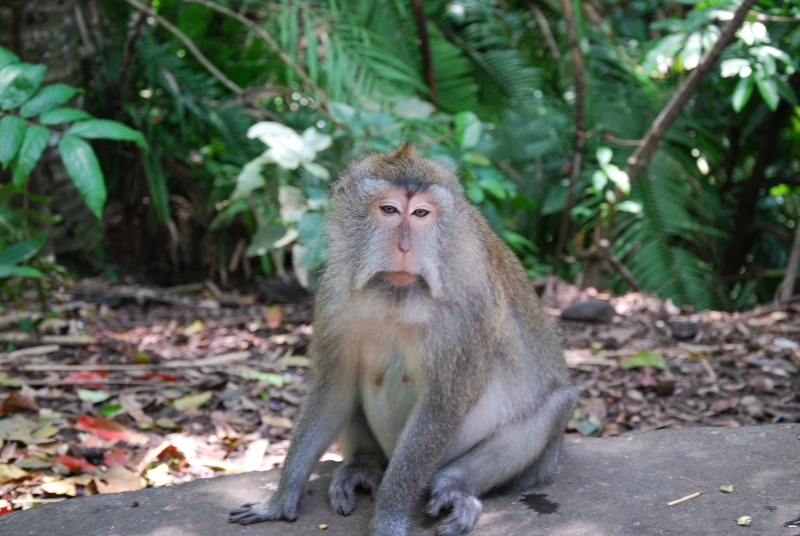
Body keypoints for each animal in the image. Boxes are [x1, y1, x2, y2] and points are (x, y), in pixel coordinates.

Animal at [229, 143, 577, 536]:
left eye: (422, 213)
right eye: (390, 210)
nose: (405, 246)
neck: (397, 296)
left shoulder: (468, 311)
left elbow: (442, 405)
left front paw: (388, 519)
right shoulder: (334, 292)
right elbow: (335, 385)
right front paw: (280, 499)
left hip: (538, 464)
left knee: (558, 404)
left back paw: (456, 485)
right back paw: (363, 464)